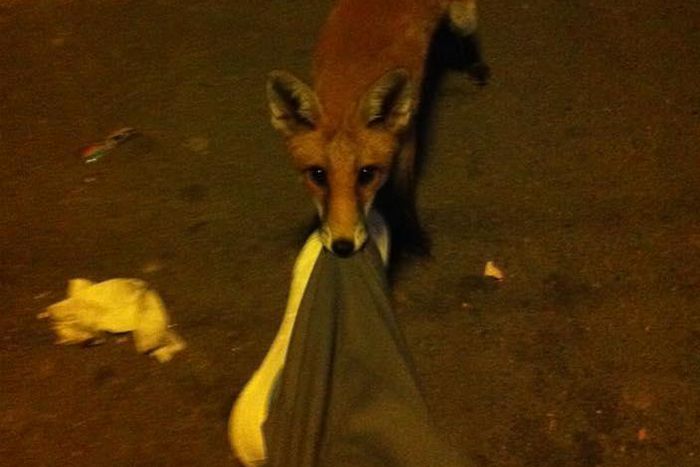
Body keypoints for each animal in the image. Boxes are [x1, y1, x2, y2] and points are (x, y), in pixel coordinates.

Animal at [267, 0, 482, 257]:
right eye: (317, 175)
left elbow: (403, 191)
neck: (348, 83)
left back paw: (474, 64)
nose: (342, 247)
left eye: (366, 174)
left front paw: (412, 236)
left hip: (464, 20)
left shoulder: (407, 140)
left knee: (465, 33)